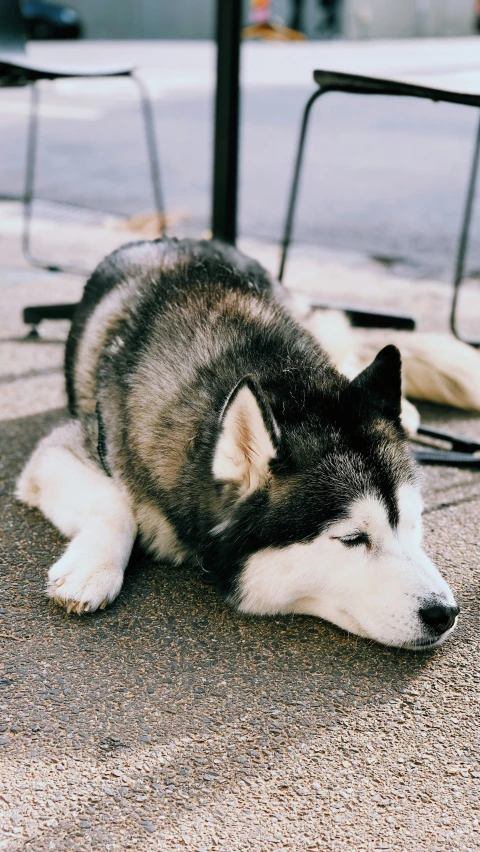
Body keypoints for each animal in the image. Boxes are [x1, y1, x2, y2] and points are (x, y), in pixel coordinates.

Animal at [15, 236, 460, 648]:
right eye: (353, 539)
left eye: (413, 523)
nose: (445, 612)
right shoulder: (64, 448)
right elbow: (116, 504)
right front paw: (91, 568)